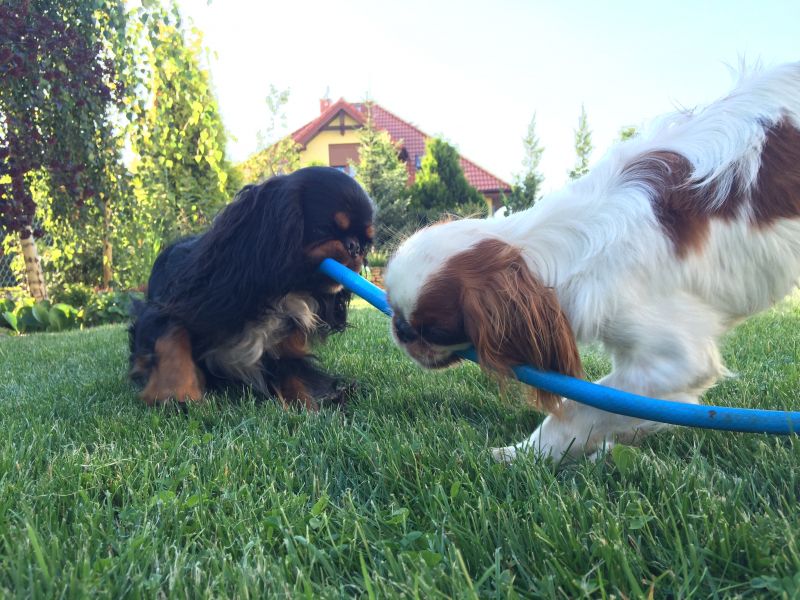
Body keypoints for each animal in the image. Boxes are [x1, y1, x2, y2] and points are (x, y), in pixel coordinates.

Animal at [129, 166, 374, 409]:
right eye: (324, 228)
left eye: (366, 243)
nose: (355, 248)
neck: (281, 292)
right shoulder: (178, 305)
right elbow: (172, 336)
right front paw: (176, 394)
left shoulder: (286, 349)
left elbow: (296, 379)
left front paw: (310, 409)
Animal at [384, 62, 800, 462]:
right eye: (395, 312)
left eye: (434, 330)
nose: (400, 330)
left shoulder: (670, 361)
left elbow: (580, 410)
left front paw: (524, 455)